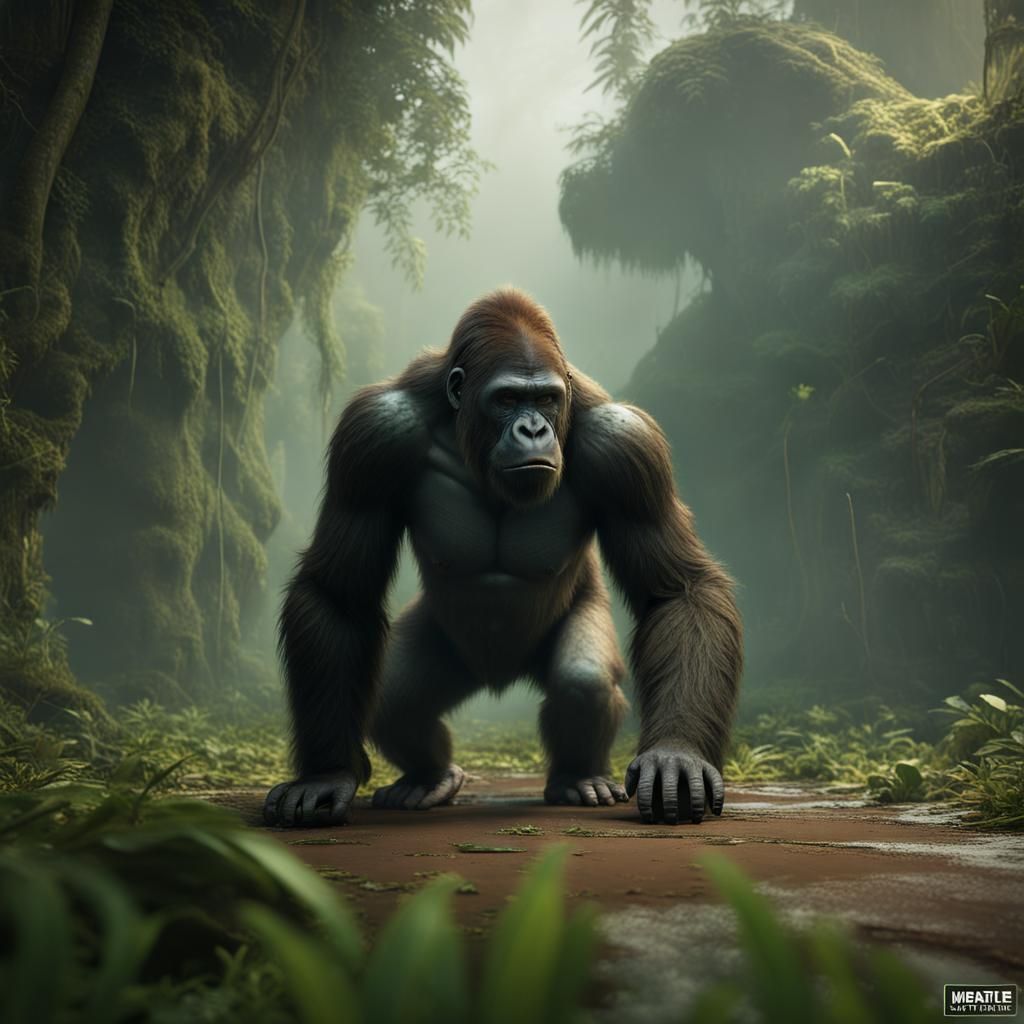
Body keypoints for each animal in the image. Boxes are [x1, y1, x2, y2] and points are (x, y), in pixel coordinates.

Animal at [264, 287, 742, 827]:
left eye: (547, 399)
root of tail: (501, 677)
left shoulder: (627, 446)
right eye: (508, 399)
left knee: (582, 682)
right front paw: (326, 773)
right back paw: (430, 778)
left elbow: (677, 589)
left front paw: (677, 753)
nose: (533, 429)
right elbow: (339, 594)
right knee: (393, 700)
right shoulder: (372, 435)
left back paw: (577, 778)